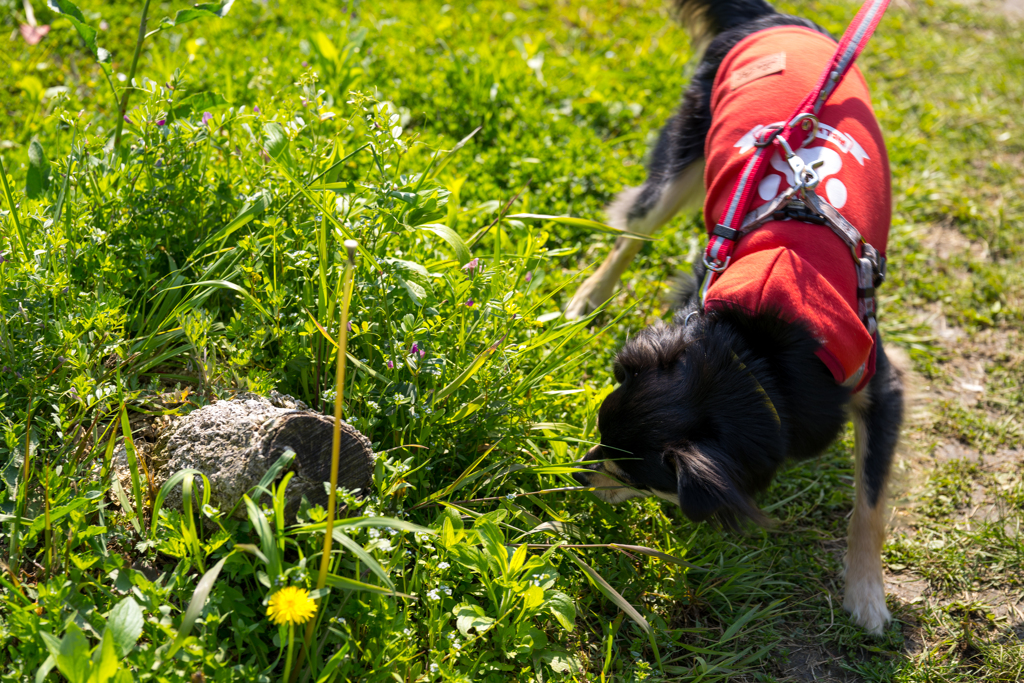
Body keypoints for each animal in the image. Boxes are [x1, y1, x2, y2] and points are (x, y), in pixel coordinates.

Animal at [577, 0, 905, 634]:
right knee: (634, 224)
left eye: (632, 476)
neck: (757, 357)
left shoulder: (881, 385)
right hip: (684, 156)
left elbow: (870, 503)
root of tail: (773, 17)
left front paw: (866, 593)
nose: (574, 474)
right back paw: (588, 296)